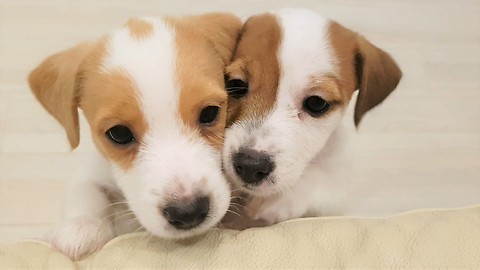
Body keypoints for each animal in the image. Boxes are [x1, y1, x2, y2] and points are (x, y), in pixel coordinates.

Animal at [28, 13, 242, 260]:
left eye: (209, 113)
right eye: (119, 134)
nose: (188, 212)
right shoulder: (95, 169)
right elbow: (84, 189)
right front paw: (82, 226)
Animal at [222, 8, 402, 227]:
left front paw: (280, 197)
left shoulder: (335, 196)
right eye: (236, 85)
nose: (250, 165)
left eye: (316, 103)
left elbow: (320, 181)